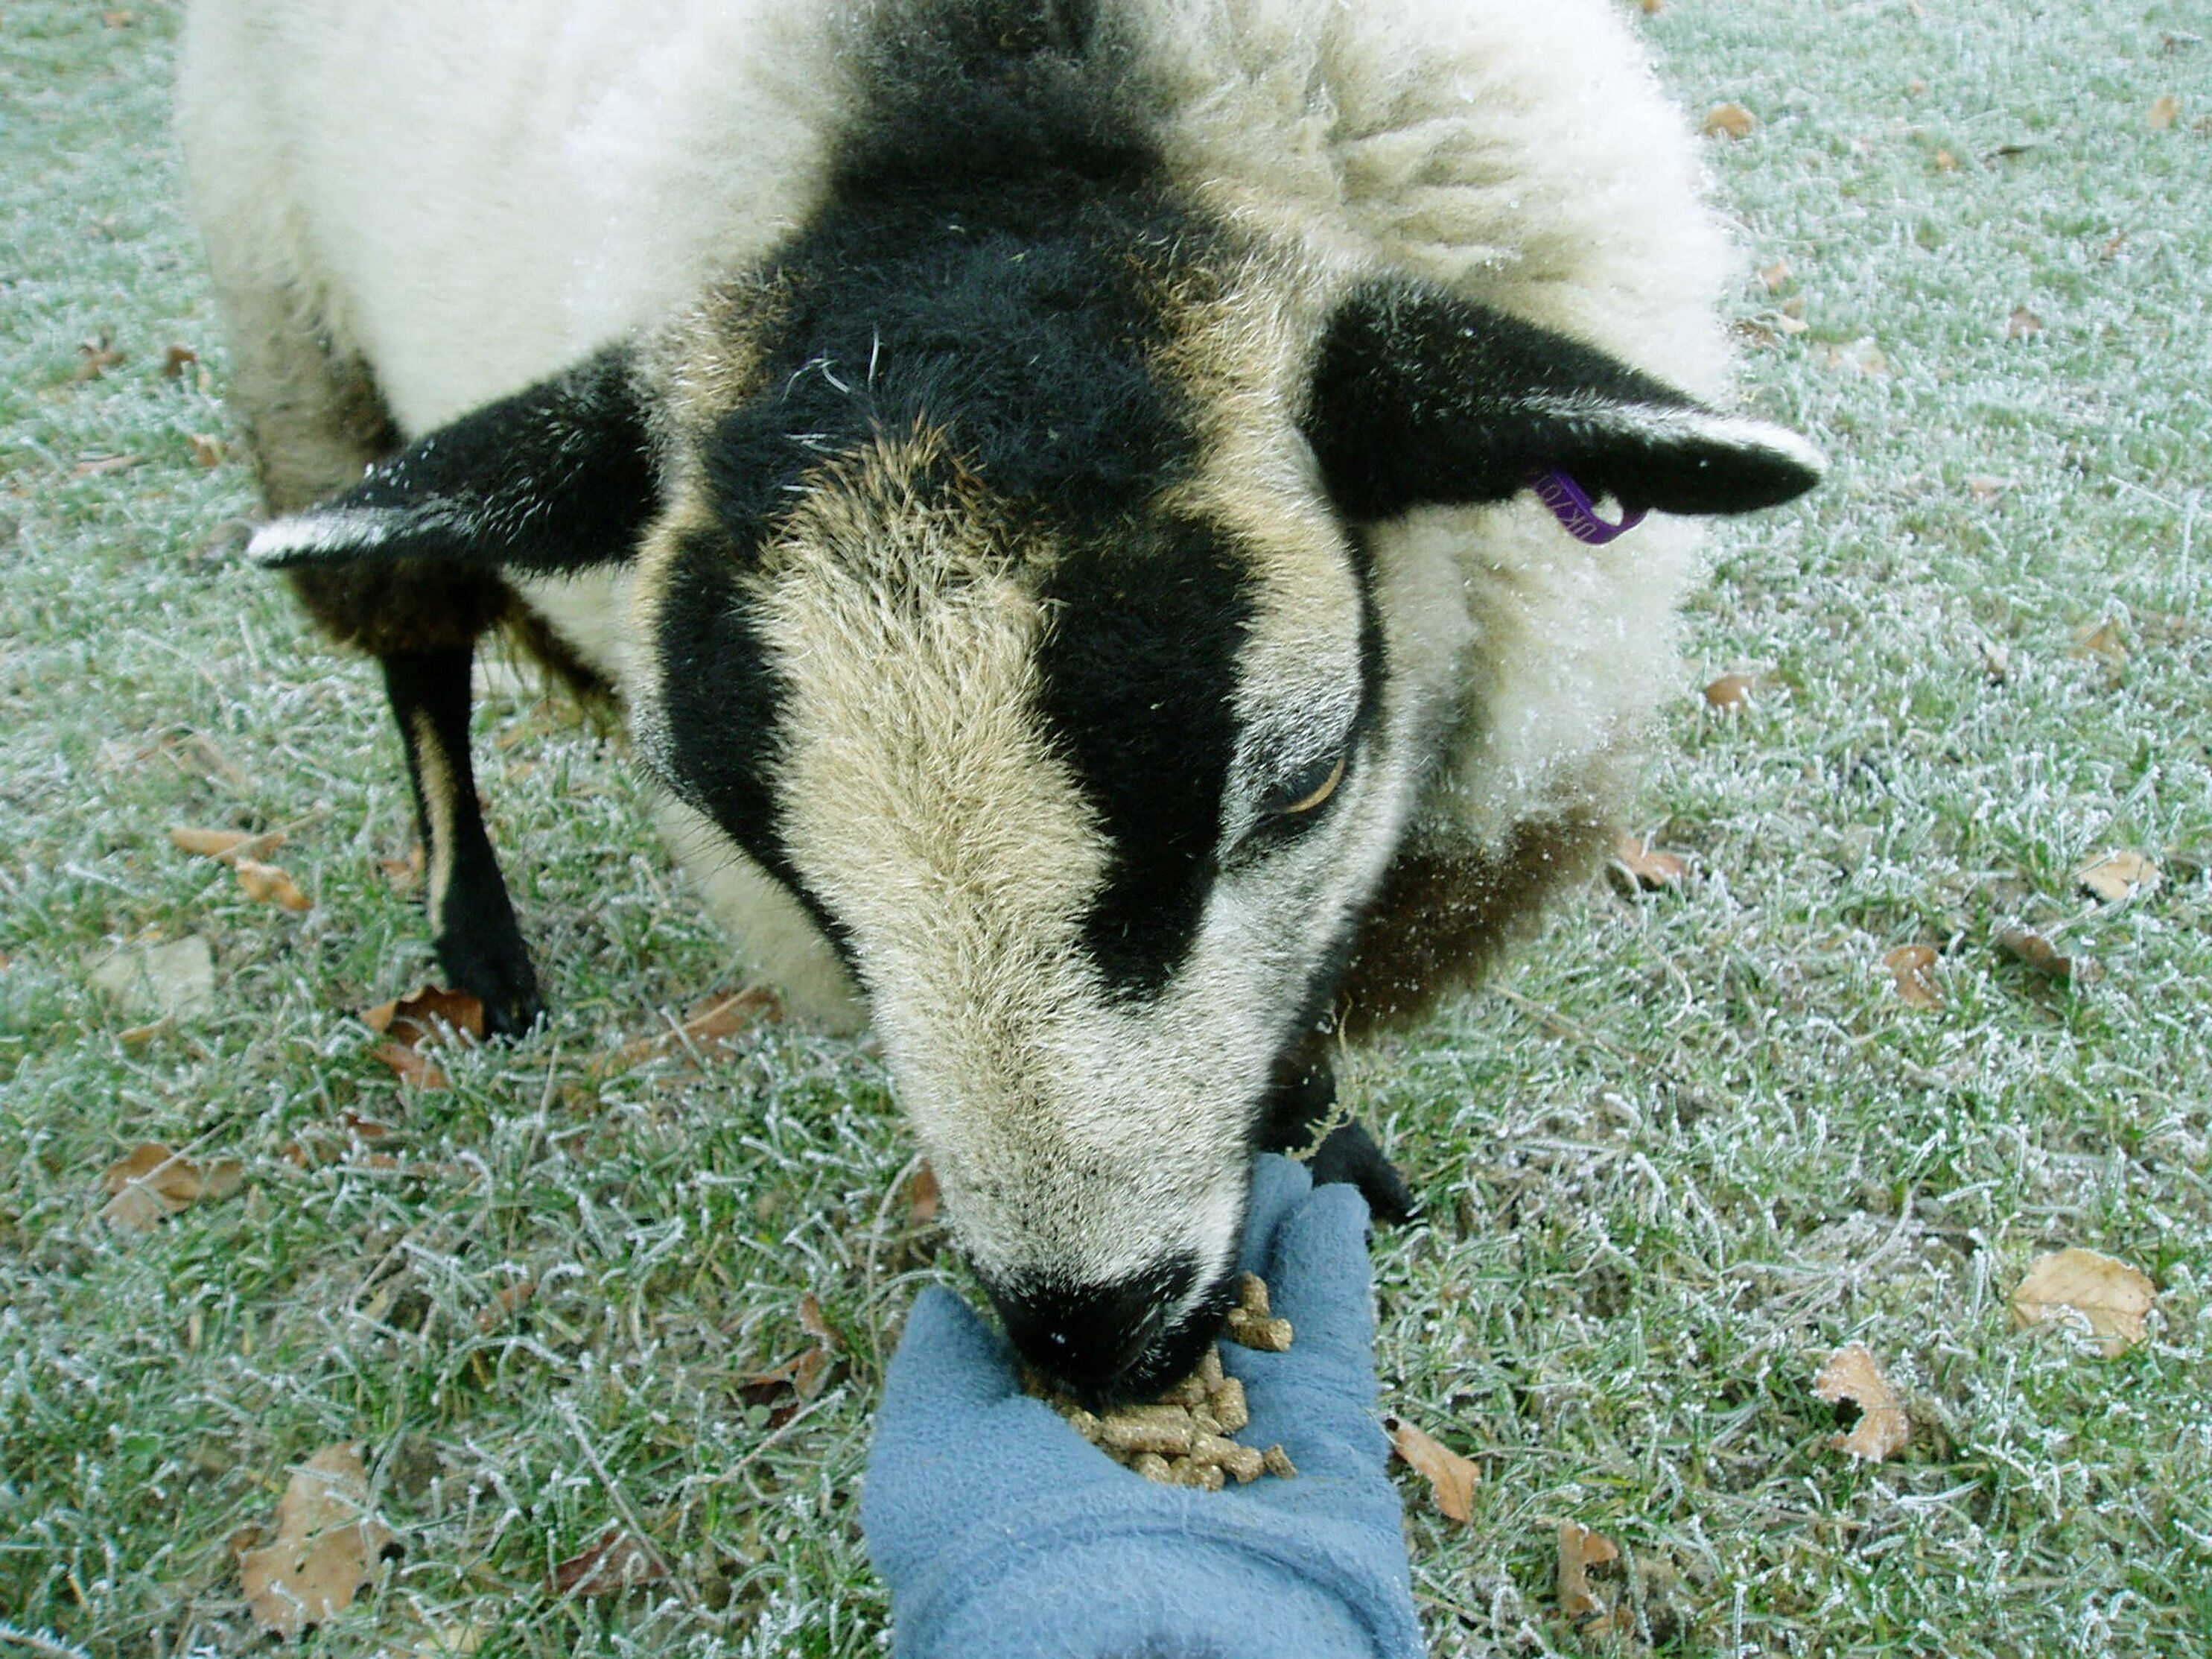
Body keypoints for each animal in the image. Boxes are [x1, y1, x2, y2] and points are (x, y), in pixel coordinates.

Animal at [179, 0, 1821, 1398]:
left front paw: (1338, 1158)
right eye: (764, 849)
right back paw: (478, 942)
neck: (995, 101)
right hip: (303, 336)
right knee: (422, 666)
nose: (1094, 1344)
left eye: (1304, 781)